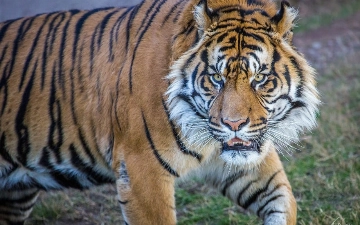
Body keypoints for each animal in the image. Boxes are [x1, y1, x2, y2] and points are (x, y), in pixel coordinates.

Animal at [0, 0, 320, 224]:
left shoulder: (245, 163)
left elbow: (285, 202)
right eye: (216, 78)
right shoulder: (141, 171)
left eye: (260, 79)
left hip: (16, 195)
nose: (233, 124)